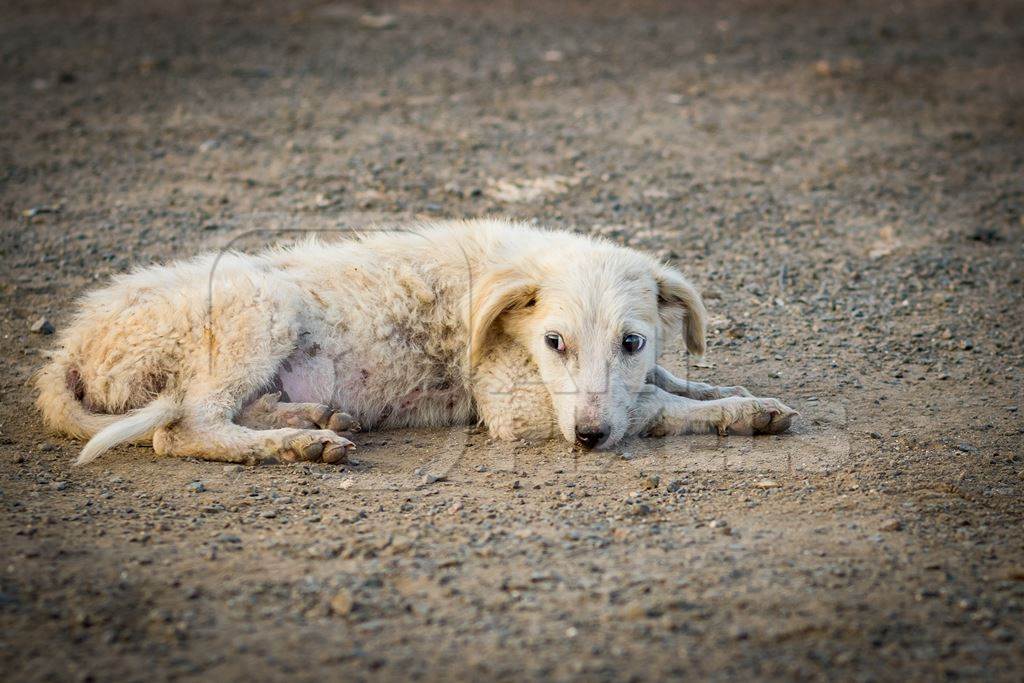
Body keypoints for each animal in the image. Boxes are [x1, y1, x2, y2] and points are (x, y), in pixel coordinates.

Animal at [34, 222, 798, 466]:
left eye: (633, 340)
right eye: (554, 341)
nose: (588, 437)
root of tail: (72, 343)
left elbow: (661, 385)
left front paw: (730, 393)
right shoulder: (515, 404)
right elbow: (655, 410)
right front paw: (738, 414)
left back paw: (312, 416)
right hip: (259, 309)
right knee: (182, 428)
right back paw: (297, 445)